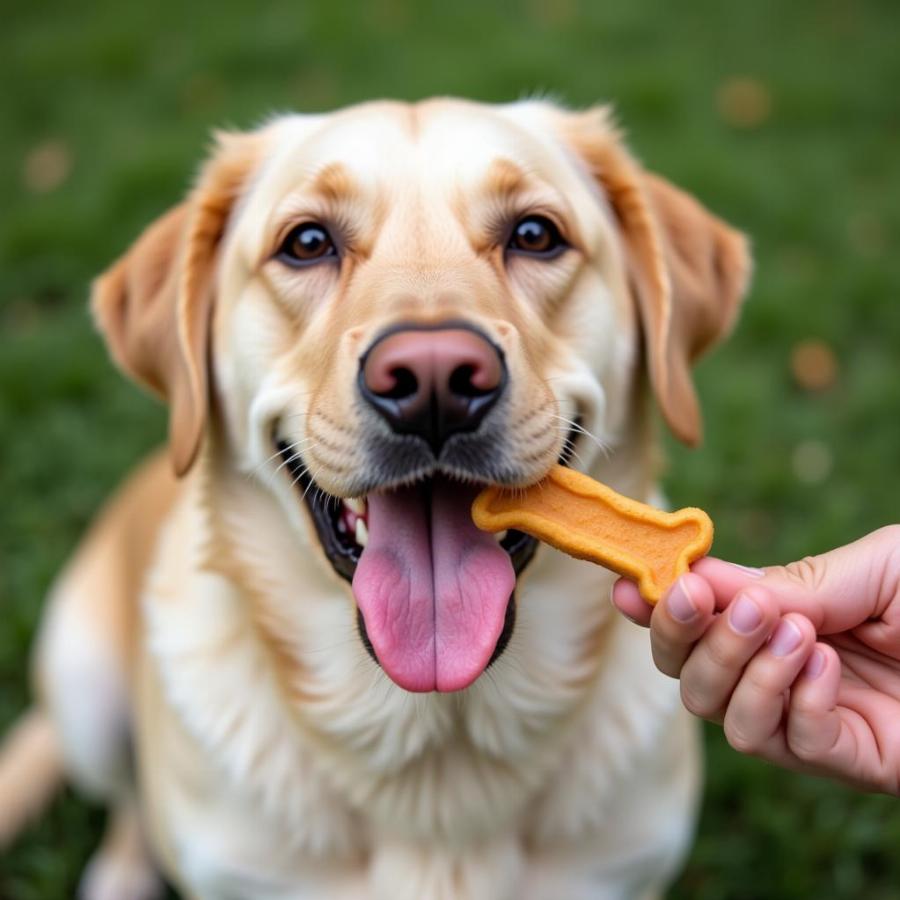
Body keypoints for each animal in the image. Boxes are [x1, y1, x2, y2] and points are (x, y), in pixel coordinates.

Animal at [0, 100, 744, 900]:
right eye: (307, 243)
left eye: (535, 234)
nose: (435, 380)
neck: (439, 747)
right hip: (82, 687)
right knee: (127, 799)